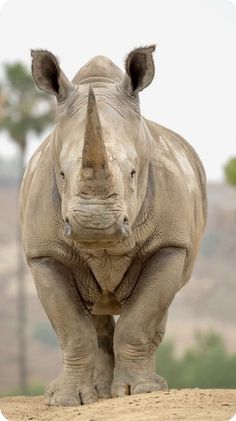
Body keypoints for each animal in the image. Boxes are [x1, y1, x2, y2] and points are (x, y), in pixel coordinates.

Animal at [19, 45, 206, 404]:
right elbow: (72, 328)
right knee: (96, 317)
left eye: (133, 173)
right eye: (61, 174)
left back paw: (146, 386)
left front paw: (139, 391)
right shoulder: (45, 254)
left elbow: (140, 320)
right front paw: (67, 400)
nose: (95, 225)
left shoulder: (169, 244)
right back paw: (97, 392)